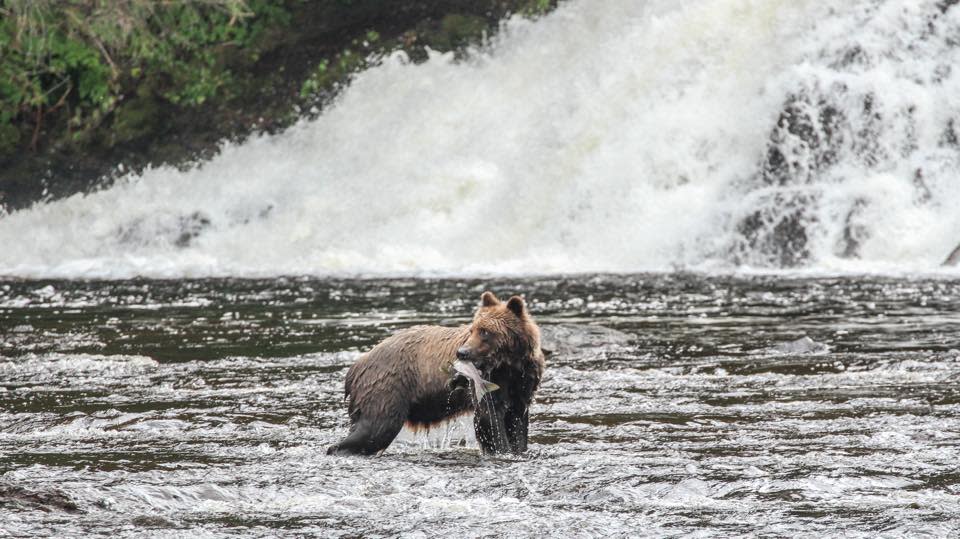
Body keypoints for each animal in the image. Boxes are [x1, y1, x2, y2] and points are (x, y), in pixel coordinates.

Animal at [327, 291, 546, 456]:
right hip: (386, 388)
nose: (462, 352)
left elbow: (517, 421)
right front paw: (503, 449)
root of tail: (357, 364)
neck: (508, 364)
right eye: (473, 329)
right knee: (374, 429)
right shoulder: (488, 383)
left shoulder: (522, 382)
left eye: (485, 332)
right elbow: (490, 419)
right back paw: (338, 449)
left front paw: (518, 449)